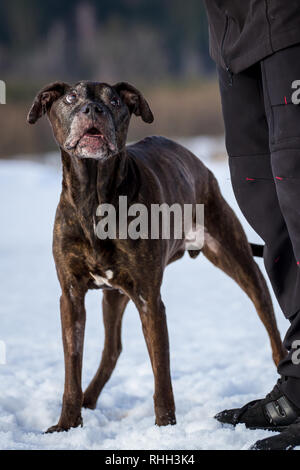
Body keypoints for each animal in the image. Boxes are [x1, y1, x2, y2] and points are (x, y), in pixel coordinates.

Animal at [27, 81, 284, 434]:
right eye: (70, 97)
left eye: (115, 100)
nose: (93, 109)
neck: (95, 197)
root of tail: (198, 163)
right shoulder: (71, 296)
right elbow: (72, 367)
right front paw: (67, 425)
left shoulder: (149, 298)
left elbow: (161, 371)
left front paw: (165, 426)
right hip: (114, 295)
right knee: (112, 349)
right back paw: (89, 400)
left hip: (238, 259)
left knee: (268, 320)